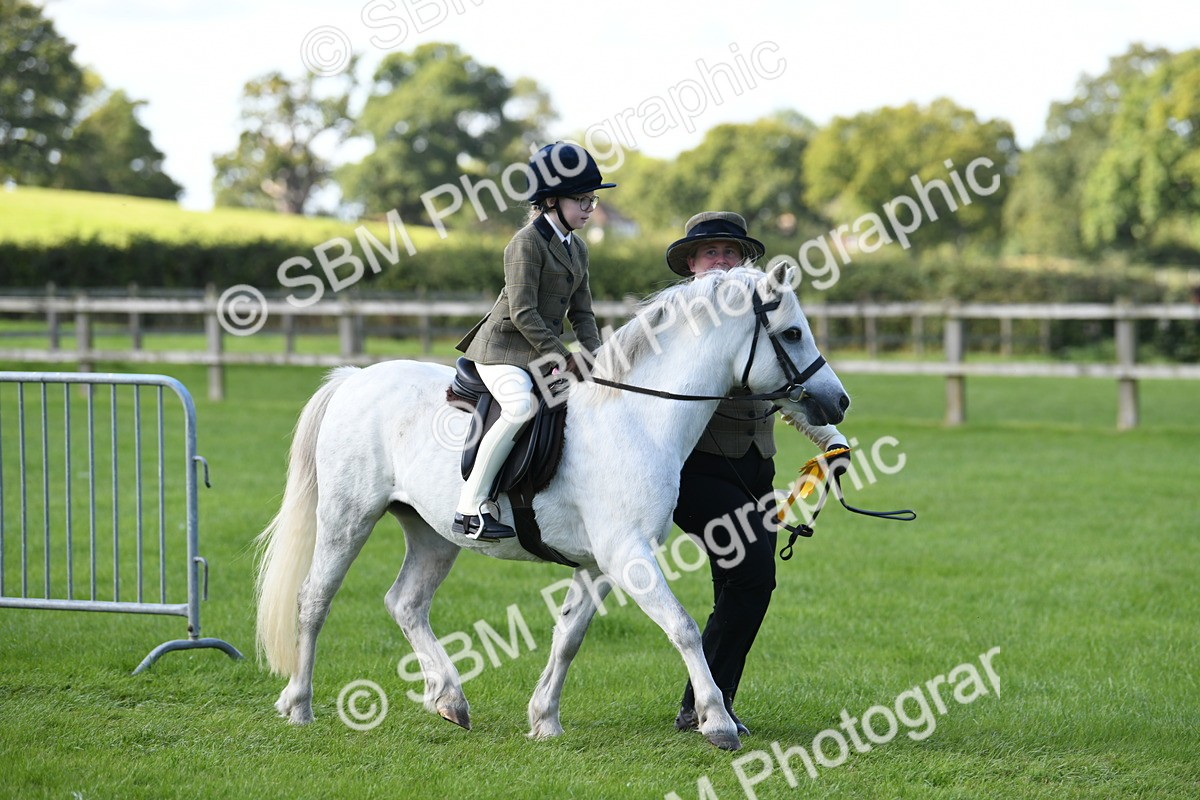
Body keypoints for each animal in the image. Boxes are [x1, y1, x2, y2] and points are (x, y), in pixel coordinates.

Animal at [254, 262, 849, 751]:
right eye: (792, 332)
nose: (839, 401)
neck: (636, 416)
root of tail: (355, 378)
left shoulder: (600, 564)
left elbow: (569, 637)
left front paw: (545, 719)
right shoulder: (629, 555)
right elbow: (681, 626)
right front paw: (717, 721)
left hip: (433, 533)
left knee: (405, 603)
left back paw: (449, 699)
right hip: (347, 517)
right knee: (314, 600)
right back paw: (300, 704)